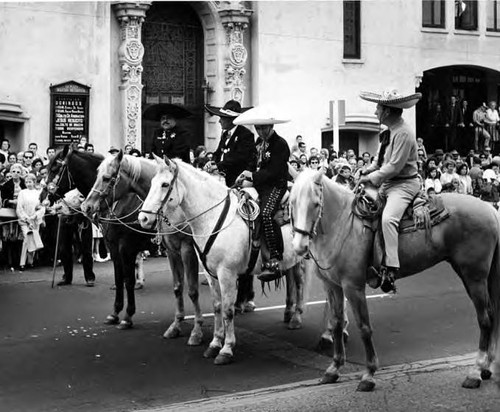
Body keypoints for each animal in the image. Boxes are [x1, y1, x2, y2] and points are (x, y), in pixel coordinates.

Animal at [139, 156, 314, 366]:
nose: (143, 218)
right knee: (293, 280)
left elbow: (228, 310)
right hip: (292, 259)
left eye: (165, 184)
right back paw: (290, 314)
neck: (212, 217)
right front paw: (214, 343)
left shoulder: (227, 273)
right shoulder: (211, 273)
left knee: (302, 282)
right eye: (151, 183)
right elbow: (217, 307)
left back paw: (301, 319)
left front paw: (226, 349)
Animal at [290, 169, 500, 392]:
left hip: (474, 276)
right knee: (492, 315)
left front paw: (369, 374)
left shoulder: (353, 287)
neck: (342, 224)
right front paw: (333, 369)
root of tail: (490, 209)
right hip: (473, 275)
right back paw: (486, 367)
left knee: (485, 318)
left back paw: (476, 371)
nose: (299, 246)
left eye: (315, 204)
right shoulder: (332, 286)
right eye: (292, 202)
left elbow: (364, 327)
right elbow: (337, 323)